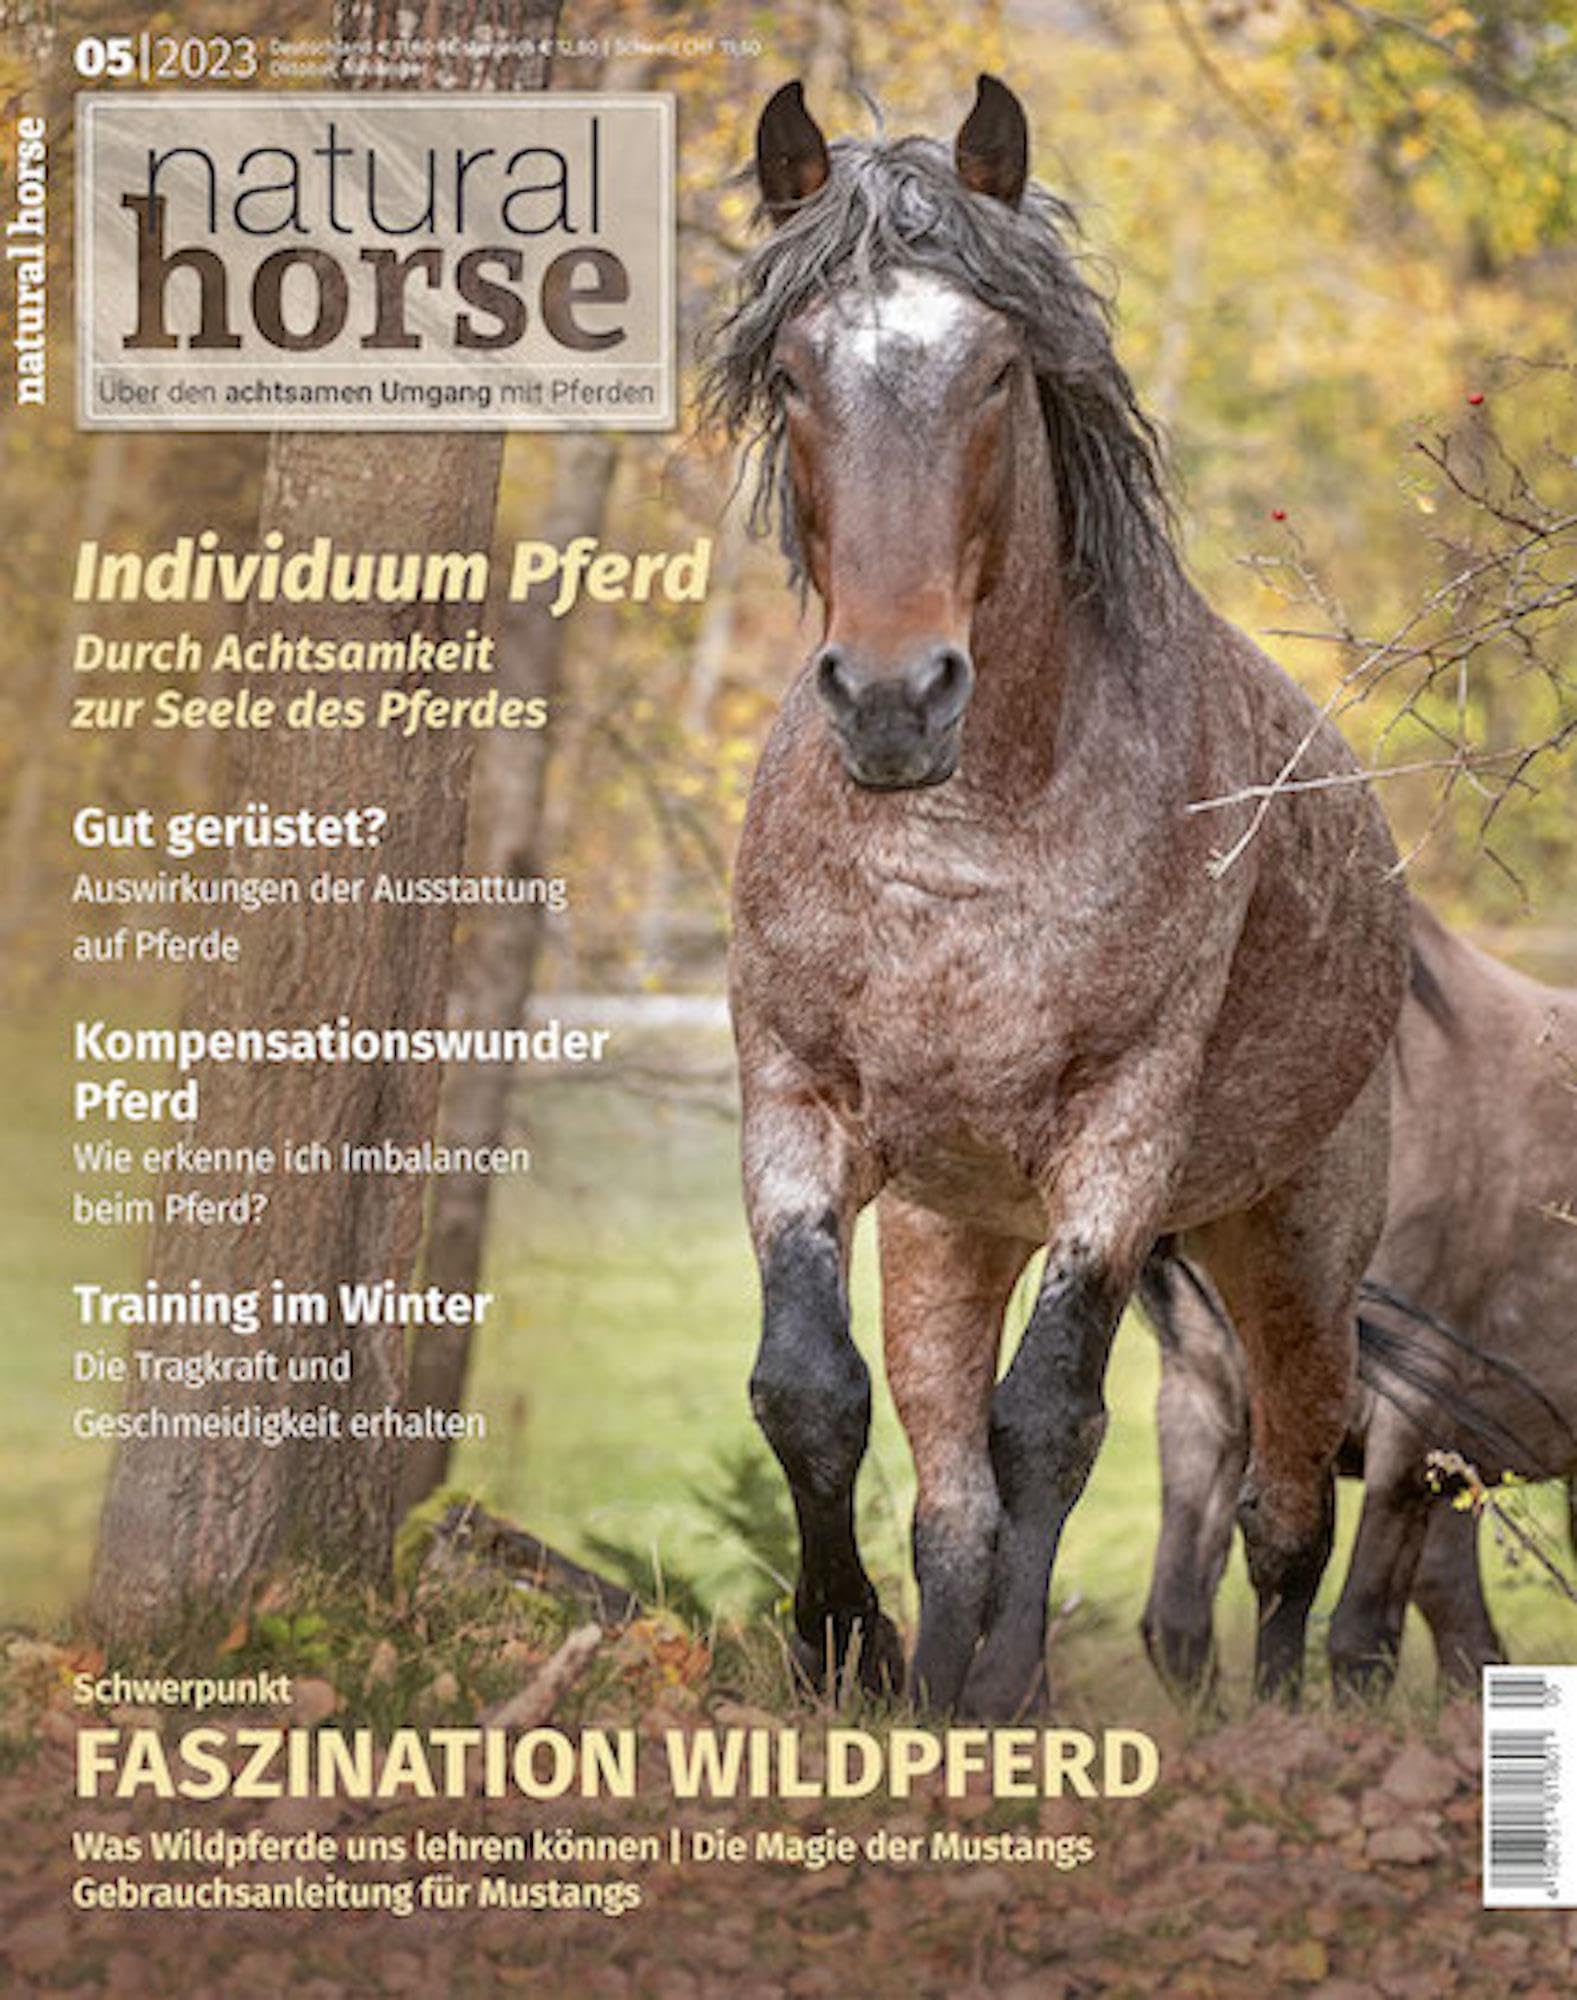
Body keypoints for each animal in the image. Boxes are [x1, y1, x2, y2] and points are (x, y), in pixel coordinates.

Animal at [709, 75, 1408, 1719]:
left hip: (1290, 1249)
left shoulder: (1119, 1138)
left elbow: (1052, 1422)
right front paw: (845, 1651)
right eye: (793, 372)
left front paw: (1006, 1686)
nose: (891, 697)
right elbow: (810, 1393)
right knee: (954, 1496)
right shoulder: (797, 1098)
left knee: (1289, 1505)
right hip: (957, 1233)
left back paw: (1271, 1710)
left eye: (992, 372)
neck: (960, 859)